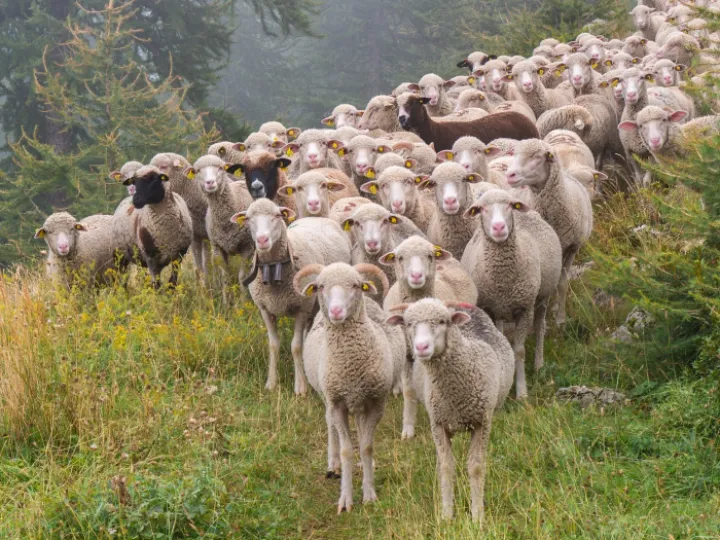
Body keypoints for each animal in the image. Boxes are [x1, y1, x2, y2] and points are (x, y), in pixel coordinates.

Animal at [231, 199, 351, 394]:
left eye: (277, 215)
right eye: (248, 218)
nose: (262, 240)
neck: (274, 268)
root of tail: (315, 218)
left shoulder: (301, 308)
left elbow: (296, 346)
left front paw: (300, 386)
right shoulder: (265, 309)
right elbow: (273, 345)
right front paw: (271, 383)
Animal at [294, 262, 403, 512]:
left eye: (355, 285)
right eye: (320, 286)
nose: (335, 311)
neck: (351, 365)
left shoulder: (375, 402)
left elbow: (366, 446)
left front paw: (369, 492)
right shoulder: (337, 404)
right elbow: (346, 450)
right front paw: (346, 498)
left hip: (360, 401)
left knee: (361, 430)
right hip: (328, 396)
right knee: (330, 425)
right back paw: (332, 464)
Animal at [385, 299, 514, 521]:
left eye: (442, 321)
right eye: (409, 323)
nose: (421, 347)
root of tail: (463, 306)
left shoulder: (482, 423)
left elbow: (476, 467)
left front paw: (477, 515)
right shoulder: (438, 424)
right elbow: (447, 467)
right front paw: (447, 515)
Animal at [461, 188, 562, 397]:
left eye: (510, 205)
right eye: (481, 209)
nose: (499, 227)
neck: (503, 281)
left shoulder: (524, 308)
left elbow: (519, 351)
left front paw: (521, 392)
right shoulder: (490, 308)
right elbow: (502, 346)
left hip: (542, 297)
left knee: (540, 326)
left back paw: (539, 364)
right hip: (500, 310)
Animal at [505, 140, 593, 325]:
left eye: (536, 156)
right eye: (515, 154)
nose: (510, 175)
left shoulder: (572, 248)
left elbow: (562, 283)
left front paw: (560, 318)